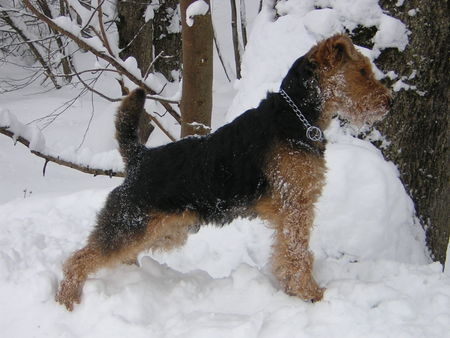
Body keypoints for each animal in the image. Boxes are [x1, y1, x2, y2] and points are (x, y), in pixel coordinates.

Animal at [56, 33, 388, 308]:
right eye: (361, 71)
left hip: (163, 230)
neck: (296, 117)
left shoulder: (293, 210)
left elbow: (288, 253)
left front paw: (293, 289)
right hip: (131, 225)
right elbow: (299, 254)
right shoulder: (295, 206)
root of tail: (140, 158)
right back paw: (67, 300)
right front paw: (310, 293)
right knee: (78, 259)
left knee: (113, 256)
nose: (388, 101)